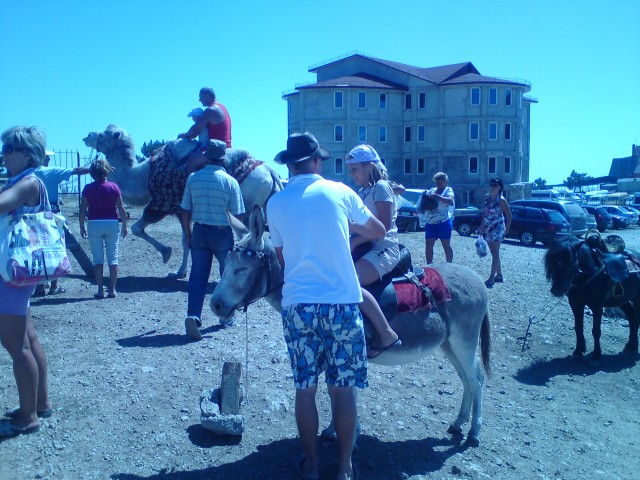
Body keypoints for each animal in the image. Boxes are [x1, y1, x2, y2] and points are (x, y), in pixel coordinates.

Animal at [84, 124, 284, 278]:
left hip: (247, 208)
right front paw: (179, 272)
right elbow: (186, 241)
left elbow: (136, 228)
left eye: (102, 134)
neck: (143, 174)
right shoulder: (181, 210)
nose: (87, 136)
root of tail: (269, 171)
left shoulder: (160, 204)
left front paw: (166, 253)